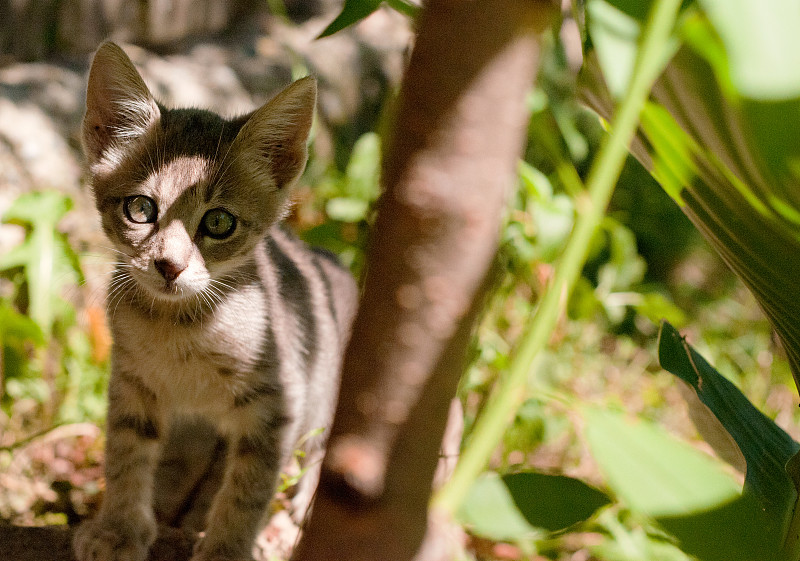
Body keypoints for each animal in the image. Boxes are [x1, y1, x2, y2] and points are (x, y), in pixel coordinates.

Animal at [72, 42, 356, 560]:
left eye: (219, 222)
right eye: (141, 209)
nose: (169, 265)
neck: (179, 330)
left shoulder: (278, 405)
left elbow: (247, 490)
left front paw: (226, 548)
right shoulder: (131, 384)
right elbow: (125, 454)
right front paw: (118, 528)